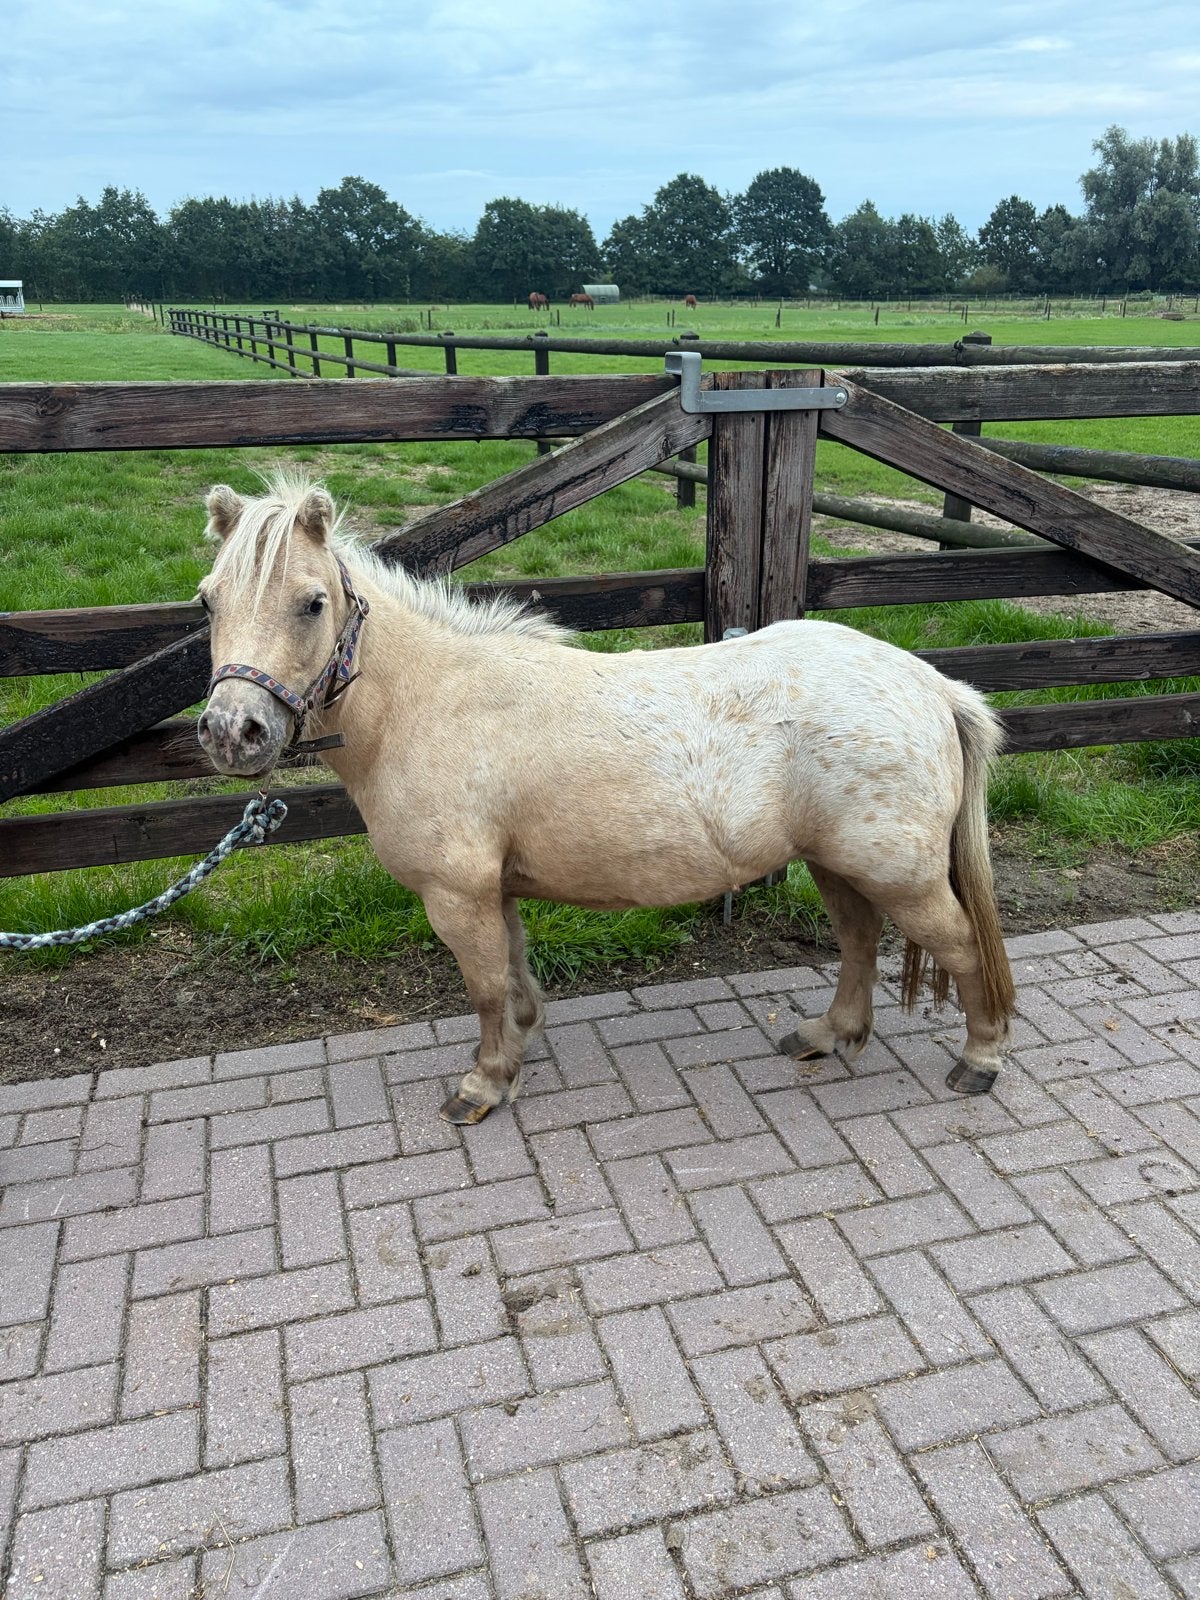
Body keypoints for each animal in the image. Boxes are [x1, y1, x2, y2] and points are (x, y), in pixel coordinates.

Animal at [197, 475, 1015, 1125]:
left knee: (960, 946)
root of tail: (932, 685)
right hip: (838, 863)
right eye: (208, 603)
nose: (234, 732)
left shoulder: (457, 894)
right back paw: (825, 1035)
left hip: (897, 872)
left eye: (311, 603)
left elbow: (484, 987)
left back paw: (979, 1059)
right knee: (858, 941)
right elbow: (513, 974)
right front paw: (519, 1050)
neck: (428, 703)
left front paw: (483, 1085)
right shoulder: (494, 888)